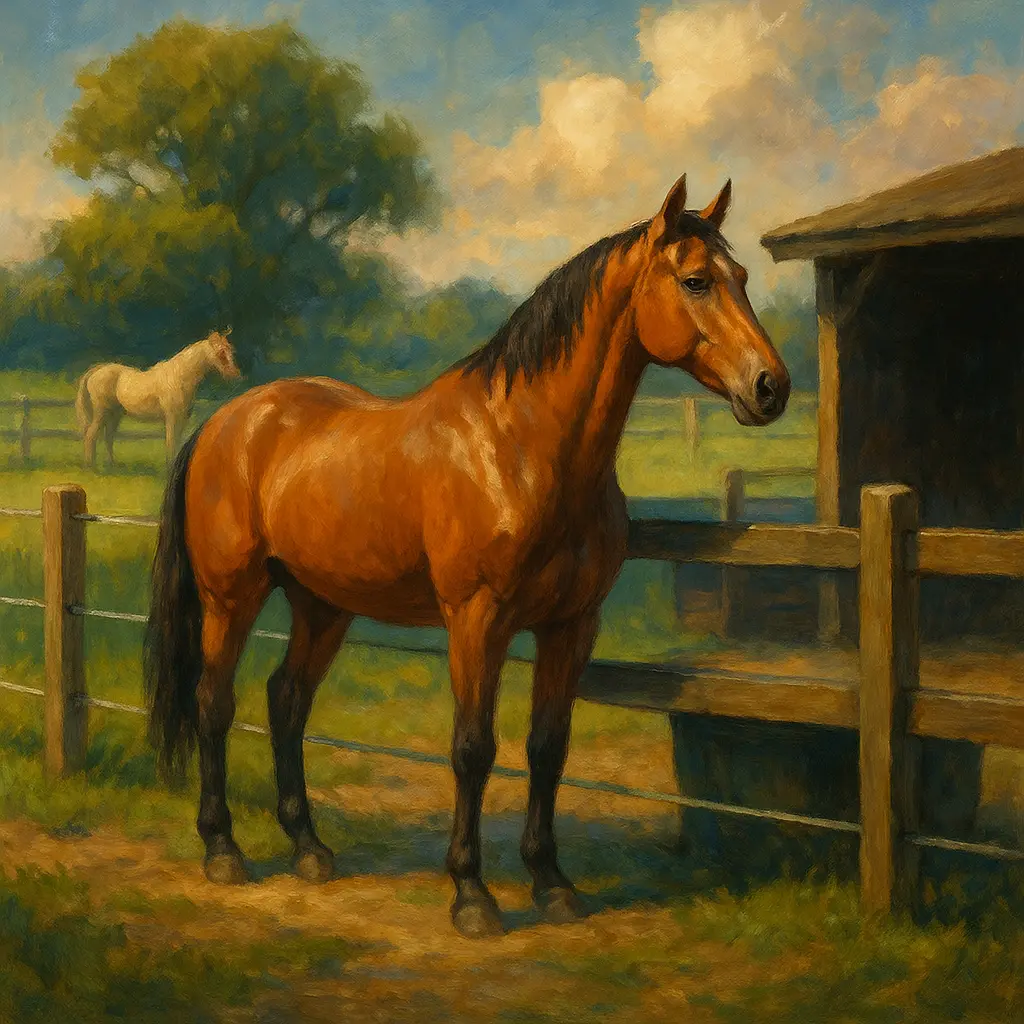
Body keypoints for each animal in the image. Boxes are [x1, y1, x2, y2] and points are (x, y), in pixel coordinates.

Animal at [75, 329, 241, 469]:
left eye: (231, 350)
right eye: (221, 352)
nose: (234, 373)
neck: (180, 376)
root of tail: (98, 369)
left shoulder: (182, 419)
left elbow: (177, 441)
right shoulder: (172, 418)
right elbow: (171, 442)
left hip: (114, 414)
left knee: (108, 437)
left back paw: (111, 465)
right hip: (102, 412)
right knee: (91, 435)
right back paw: (91, 466)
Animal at [144, 174, 790, 939]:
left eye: (741, 278)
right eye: (695, 281)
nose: (770, 386)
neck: (519, 447)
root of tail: (225, 421)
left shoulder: (572, 626)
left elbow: (547, 747)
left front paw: (552, 883)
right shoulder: (477, 622)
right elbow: (473, 749)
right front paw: (472, 895)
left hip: (322, 605)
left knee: (287, 700)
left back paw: (308, 848)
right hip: (231, 598)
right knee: (214, 702)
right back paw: (222, 850)